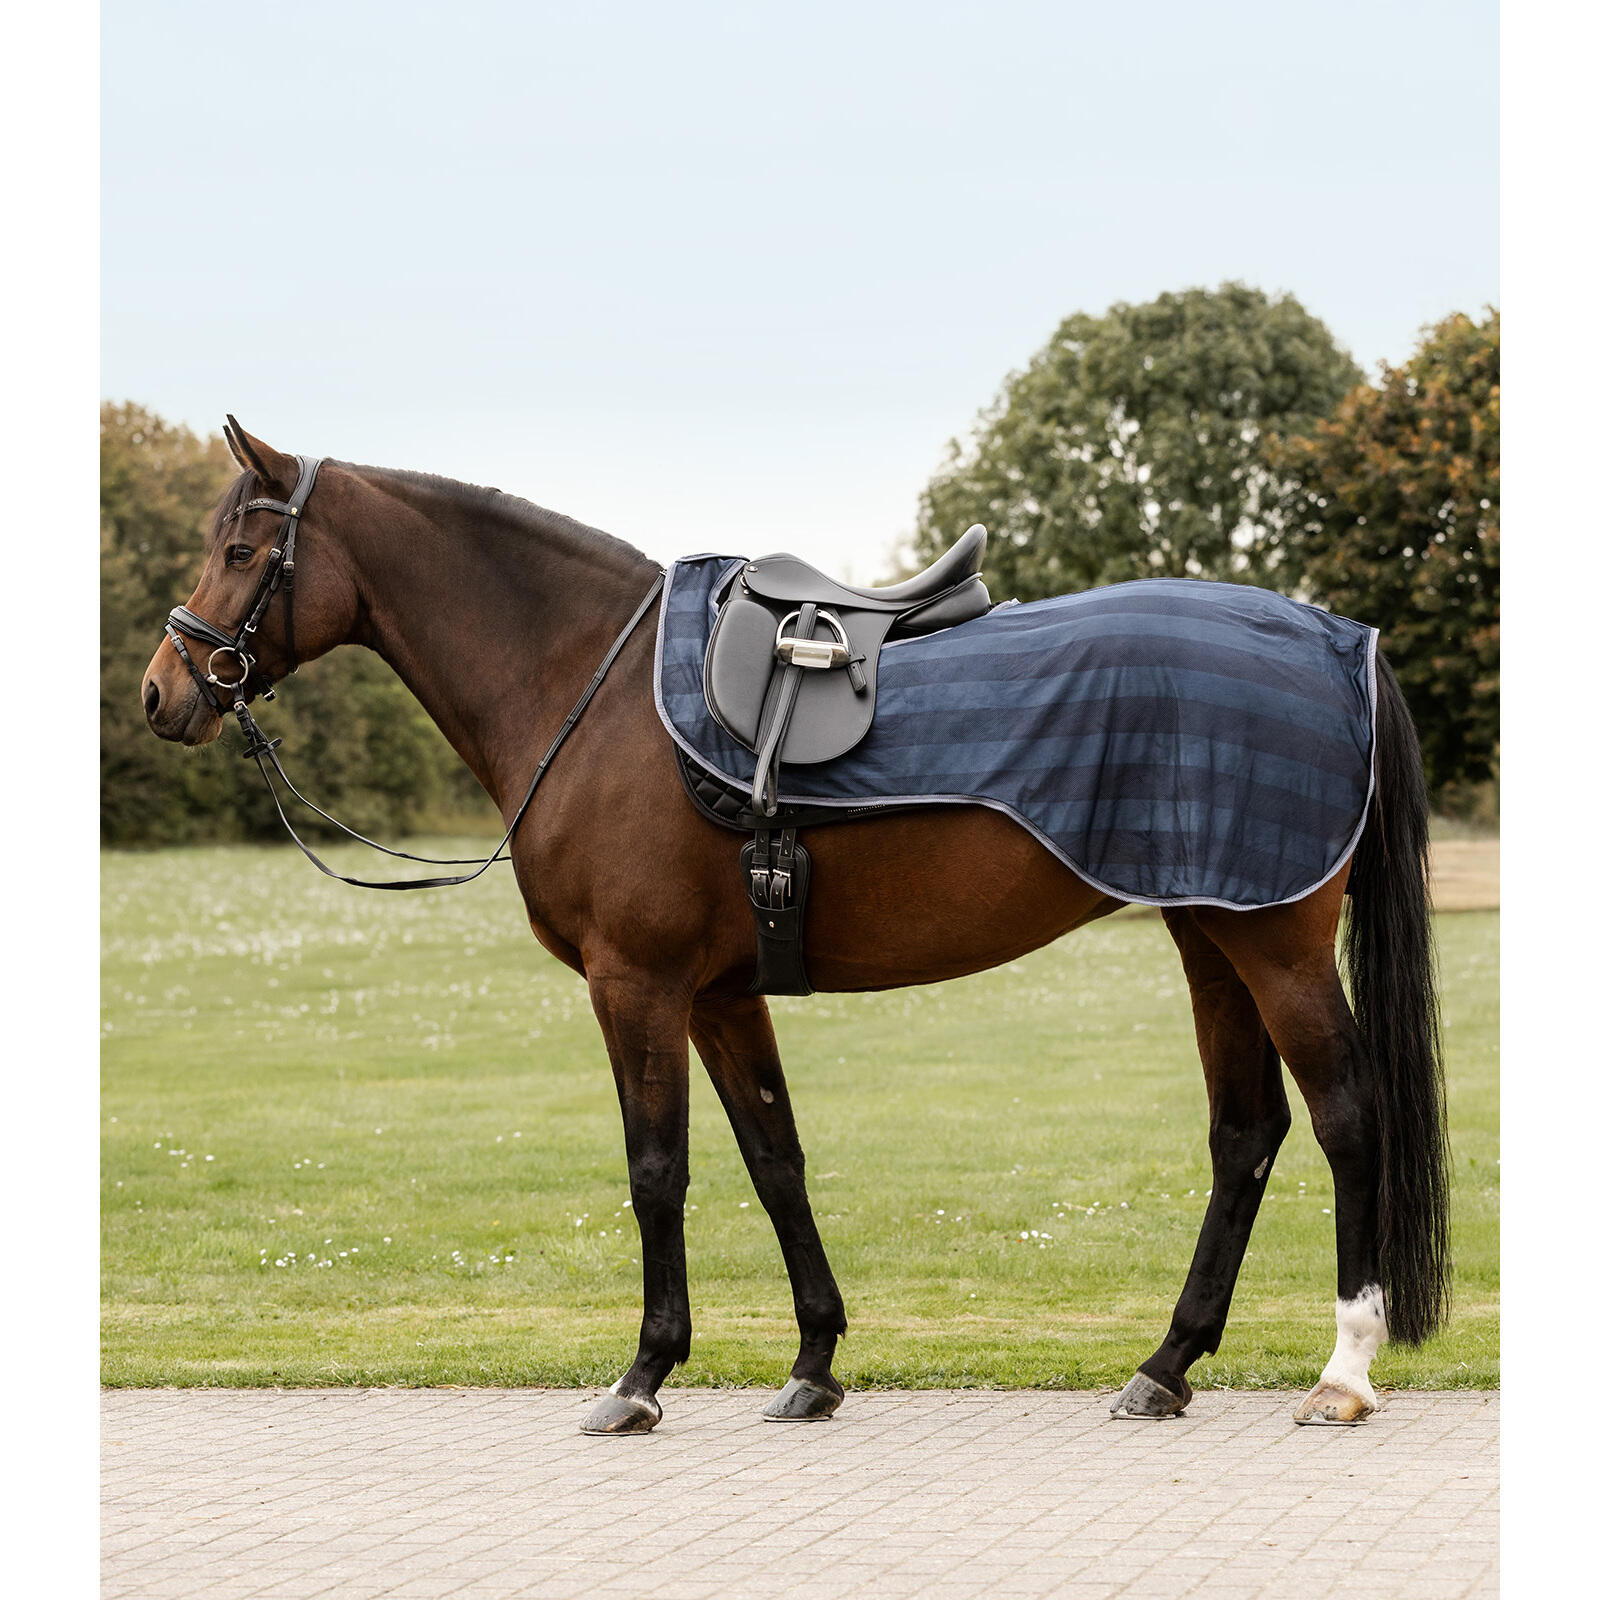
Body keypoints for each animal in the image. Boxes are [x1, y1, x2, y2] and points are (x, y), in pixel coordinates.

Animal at [140, 422, 1449, 1434]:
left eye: (243, 550)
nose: (163, 691)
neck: (590, 687)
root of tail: (1340, 640)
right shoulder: (721, 993)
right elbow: (776, 1159)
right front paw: (813, 1363)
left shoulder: (636, 984)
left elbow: (656, 1169)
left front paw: (642, 1373)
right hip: (1207, 934)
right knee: (1245, 1132)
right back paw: (1163, 1366)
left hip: (1274, 944)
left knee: (1344, 1115)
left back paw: (1341, 1371)